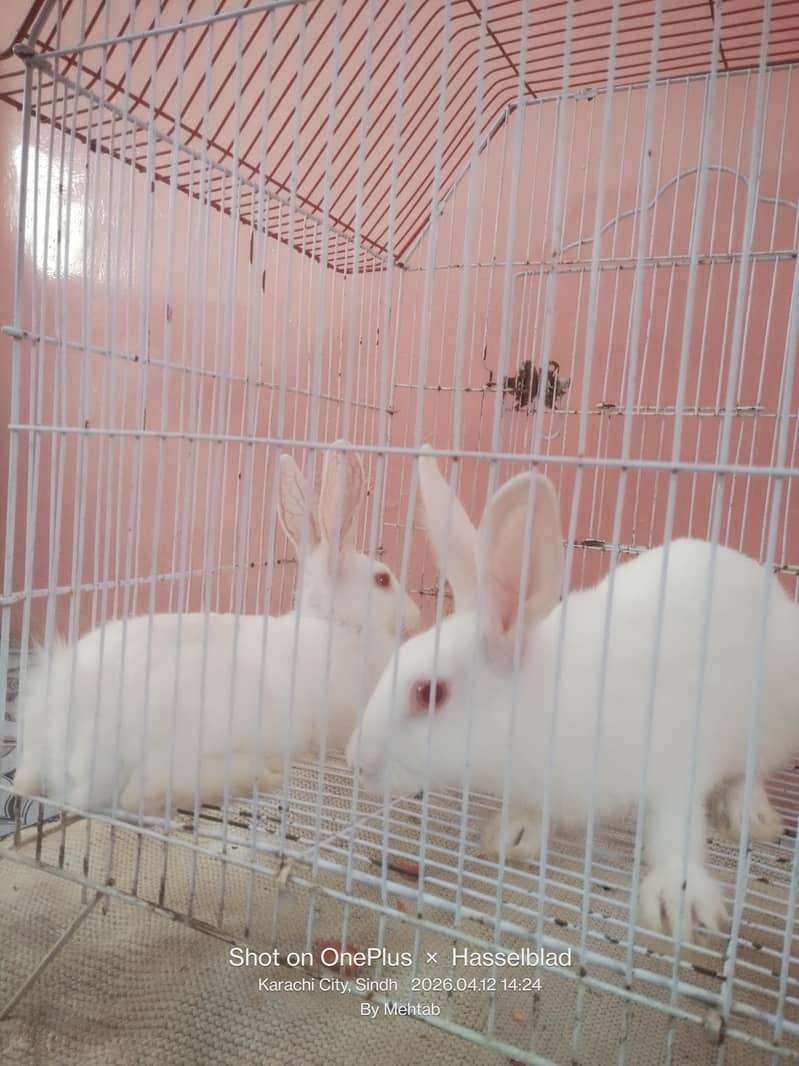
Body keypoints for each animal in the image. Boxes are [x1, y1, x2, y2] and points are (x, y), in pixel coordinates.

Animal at [12, 443, 421, 817]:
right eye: (383, 580)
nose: (416, 617)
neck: (337, 622)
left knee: (26, 780)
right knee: (142, 793)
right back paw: (260, 774)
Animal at [346, 446, 799, 942]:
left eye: (429, 692)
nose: (355, 761)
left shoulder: (672, 762)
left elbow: (677, 827)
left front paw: (673, 900)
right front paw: (514, 834)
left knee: (750, 772)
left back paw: (749, 816)